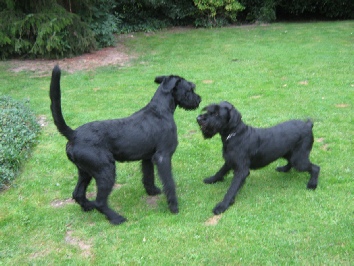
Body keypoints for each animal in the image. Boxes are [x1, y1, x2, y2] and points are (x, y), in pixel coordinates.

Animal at [48, 65, 201, 224]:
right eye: (190, 88)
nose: (199, 99)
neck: (160, 110)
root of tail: (74, 134)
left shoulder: (147, 158)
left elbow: (148, 176)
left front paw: (152, 191)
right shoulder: (162, 157)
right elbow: (169, 182)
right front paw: (174, 207)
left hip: (85, 172)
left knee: (78, 193)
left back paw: (88, 207)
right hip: (106, 170)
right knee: (100, 202)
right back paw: (116, 218)